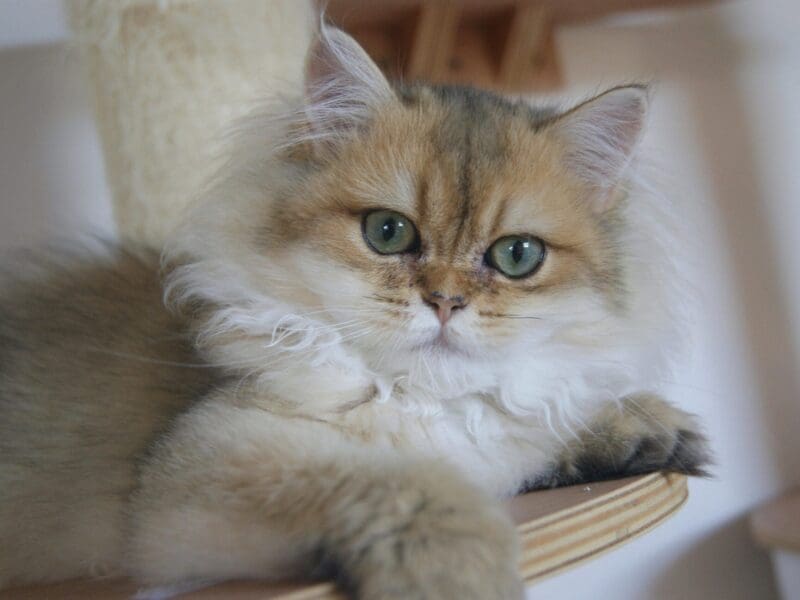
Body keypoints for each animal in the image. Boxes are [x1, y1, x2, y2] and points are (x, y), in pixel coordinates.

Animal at [1, 24, 712, 600]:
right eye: (388, 233)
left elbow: (541, 424)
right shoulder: (195, 475)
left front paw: (640, 427)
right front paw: (458, 567)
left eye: (517, 255)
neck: (422, 402)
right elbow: (402, 484)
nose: (446, 301)